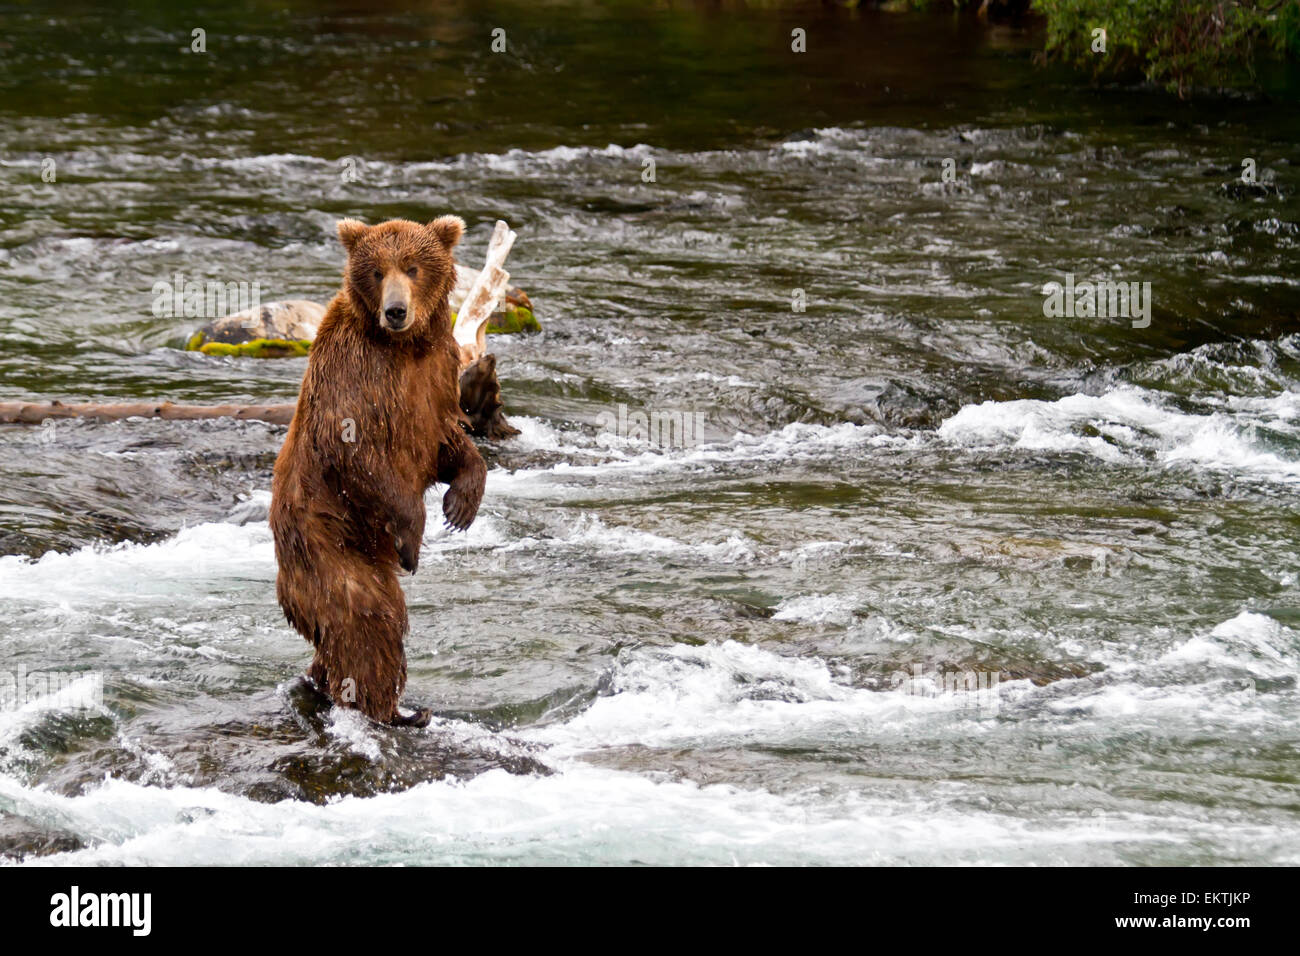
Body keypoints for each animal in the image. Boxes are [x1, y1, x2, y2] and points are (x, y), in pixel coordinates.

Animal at [269, 214, 488, 723]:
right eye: (376, 271)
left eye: (412, 267)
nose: (395, 311)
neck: (403, 347)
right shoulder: (355, 374)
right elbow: (356, 451)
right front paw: (414, 538)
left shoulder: (436, 372)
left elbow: (446, 440)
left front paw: (460, 506)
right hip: (324, 540)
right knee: (365, 619)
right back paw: (386, 710)